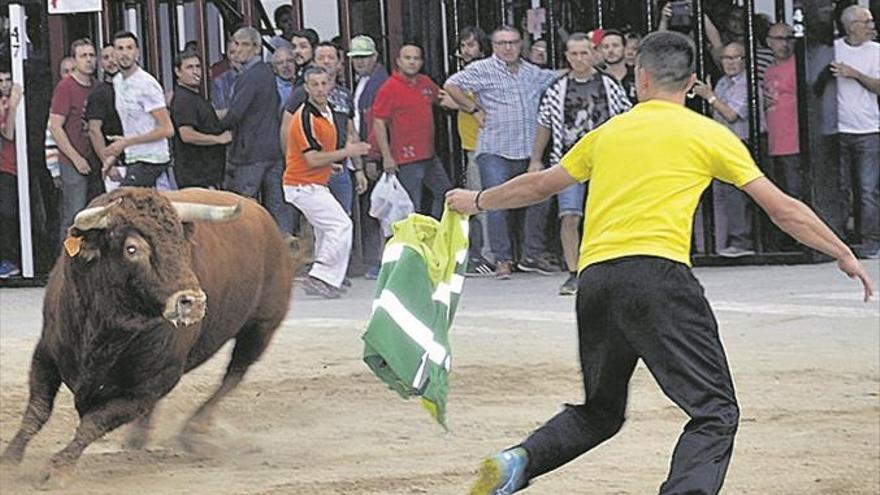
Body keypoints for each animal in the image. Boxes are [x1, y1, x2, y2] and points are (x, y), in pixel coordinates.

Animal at [0, 188, 298, 490]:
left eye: (181, 243)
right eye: (132, 248)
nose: (193, 302)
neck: (102, 330)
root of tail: (266, 220)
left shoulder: (152, 384)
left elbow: (94, 423)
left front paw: (57, 469)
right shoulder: (46, 353)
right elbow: (37, 411)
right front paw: (10, 460)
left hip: (261, 327)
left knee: (234, 374)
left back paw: (192, 430)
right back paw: (140, 438)